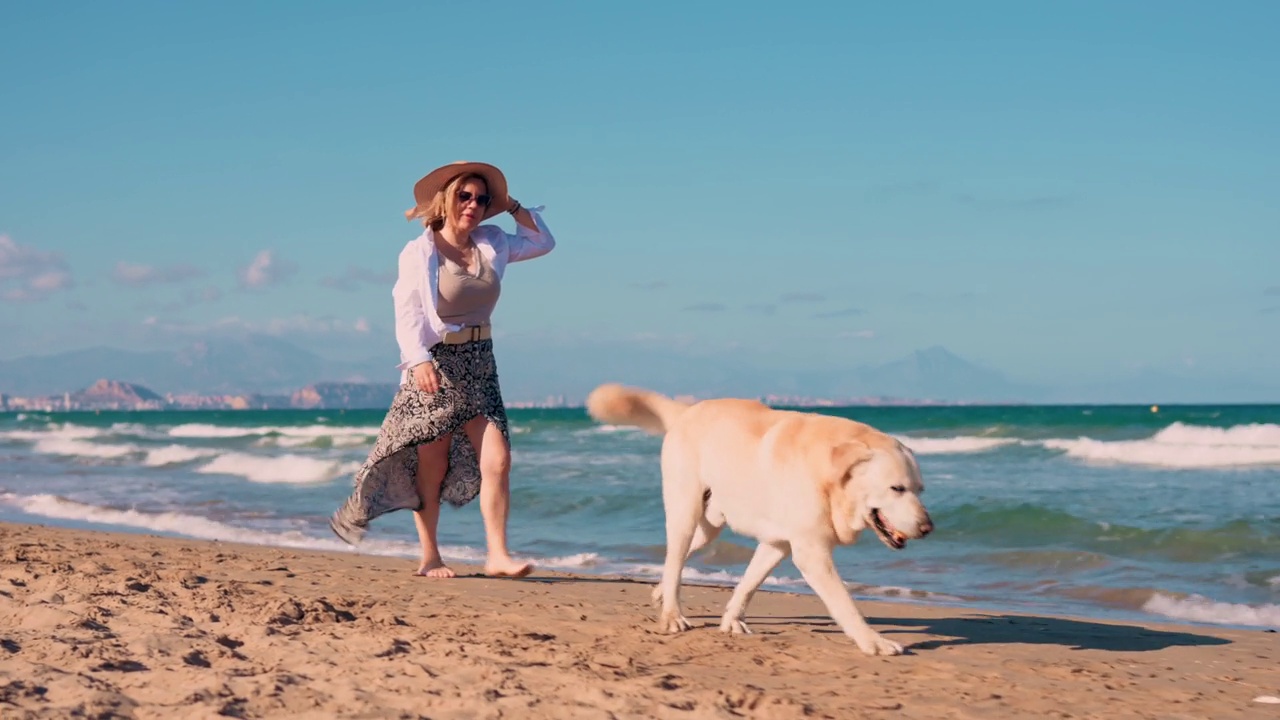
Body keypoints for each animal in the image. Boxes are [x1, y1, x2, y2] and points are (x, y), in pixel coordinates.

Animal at [586, 384, 931, 653]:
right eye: (897, 488)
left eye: (919, 489)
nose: (928, 528)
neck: (828, 475)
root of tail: (688, 411)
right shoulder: (811, 553)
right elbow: (844, 603)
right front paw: (873, 641)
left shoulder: (777, 543)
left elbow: (749, 583)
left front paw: (732, 621)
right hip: (685, 511)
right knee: (675, 557)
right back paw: (671, 613)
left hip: (708, 527)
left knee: (675, 558)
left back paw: (660, 593)